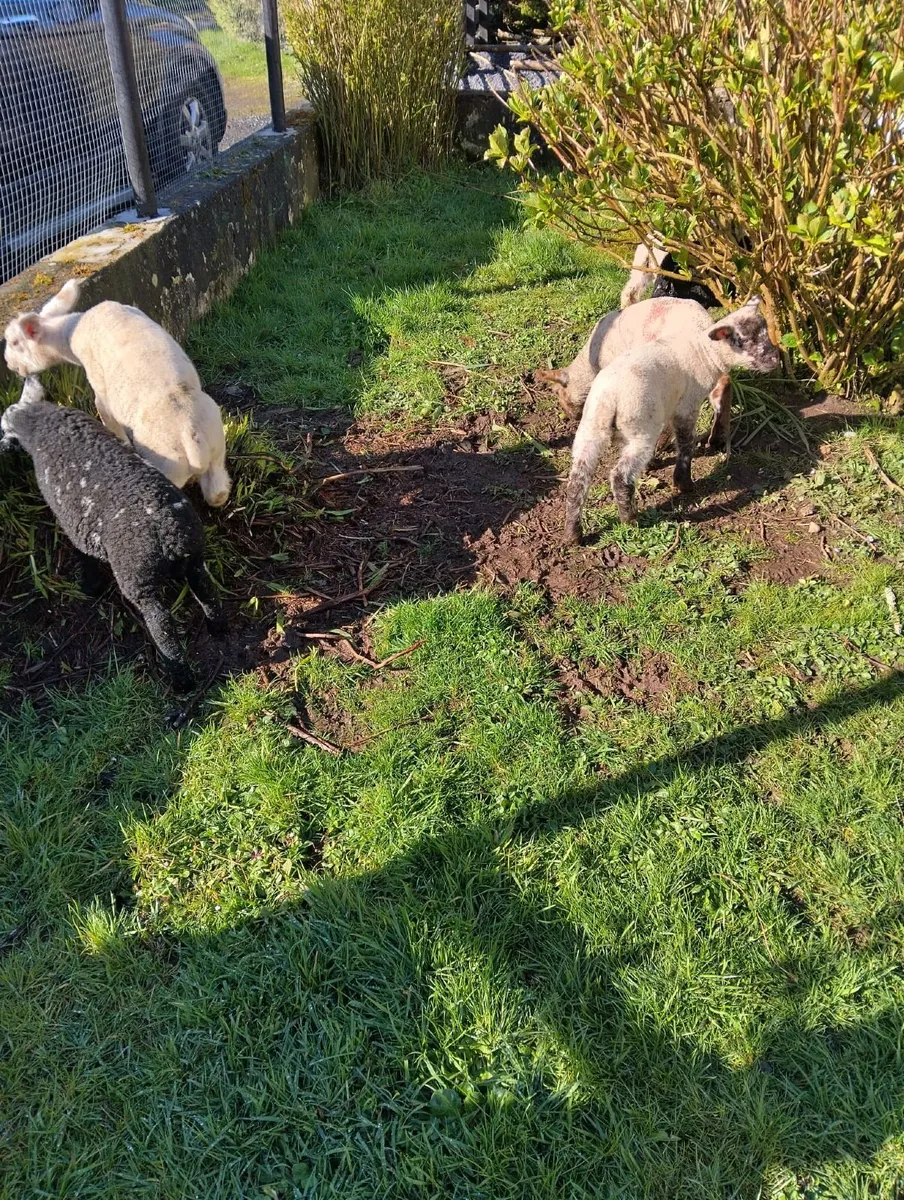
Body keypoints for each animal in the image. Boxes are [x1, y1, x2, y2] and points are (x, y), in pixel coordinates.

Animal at [0, 379, 226, 692]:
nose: (1, 448)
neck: (40, 424)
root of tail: (169, 535)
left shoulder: (72, 521)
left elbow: (83, 554)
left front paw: (89, 587)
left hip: (138, 579)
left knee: (162, 625)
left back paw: (180, 678)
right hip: (194, 558)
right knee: (207, 592)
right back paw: (217, 629)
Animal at [3, 279, 231, 507]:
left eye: (14, 342)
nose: (8, 364)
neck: (70, 333)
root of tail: (192, 441)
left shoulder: (97, 382)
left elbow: (105, 413)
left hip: (167, 462)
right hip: (216, 447)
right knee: (218, 493)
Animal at [536, 297, 733, 456]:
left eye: (557, 392)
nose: (570, 417)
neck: (590, 366)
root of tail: (702, 327)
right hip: (710, 365)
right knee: (724, 386)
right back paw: (716, 441)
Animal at [563, 297, 780, 542]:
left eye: (765, 332)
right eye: (742, 341)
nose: (775, 359)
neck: (705, 352)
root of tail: (610, 398)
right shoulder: (687, 406)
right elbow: (686, 444)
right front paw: (683, 483)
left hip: (590, 428)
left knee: (577, 479)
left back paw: (573, 534)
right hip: (640, 430)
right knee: (620, 476)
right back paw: (630, 520)